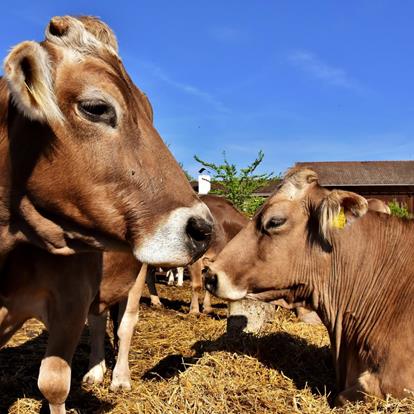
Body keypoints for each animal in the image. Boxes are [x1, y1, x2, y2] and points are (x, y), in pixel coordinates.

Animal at [0, 16, 212, 414]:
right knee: (99, 321)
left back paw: (119, 377)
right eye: (96, 108)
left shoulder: (70, 301)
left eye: (149, 111)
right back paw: (96, 370)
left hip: (137, 274)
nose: (203, 228)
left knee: (125, 324)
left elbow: (53, 385)